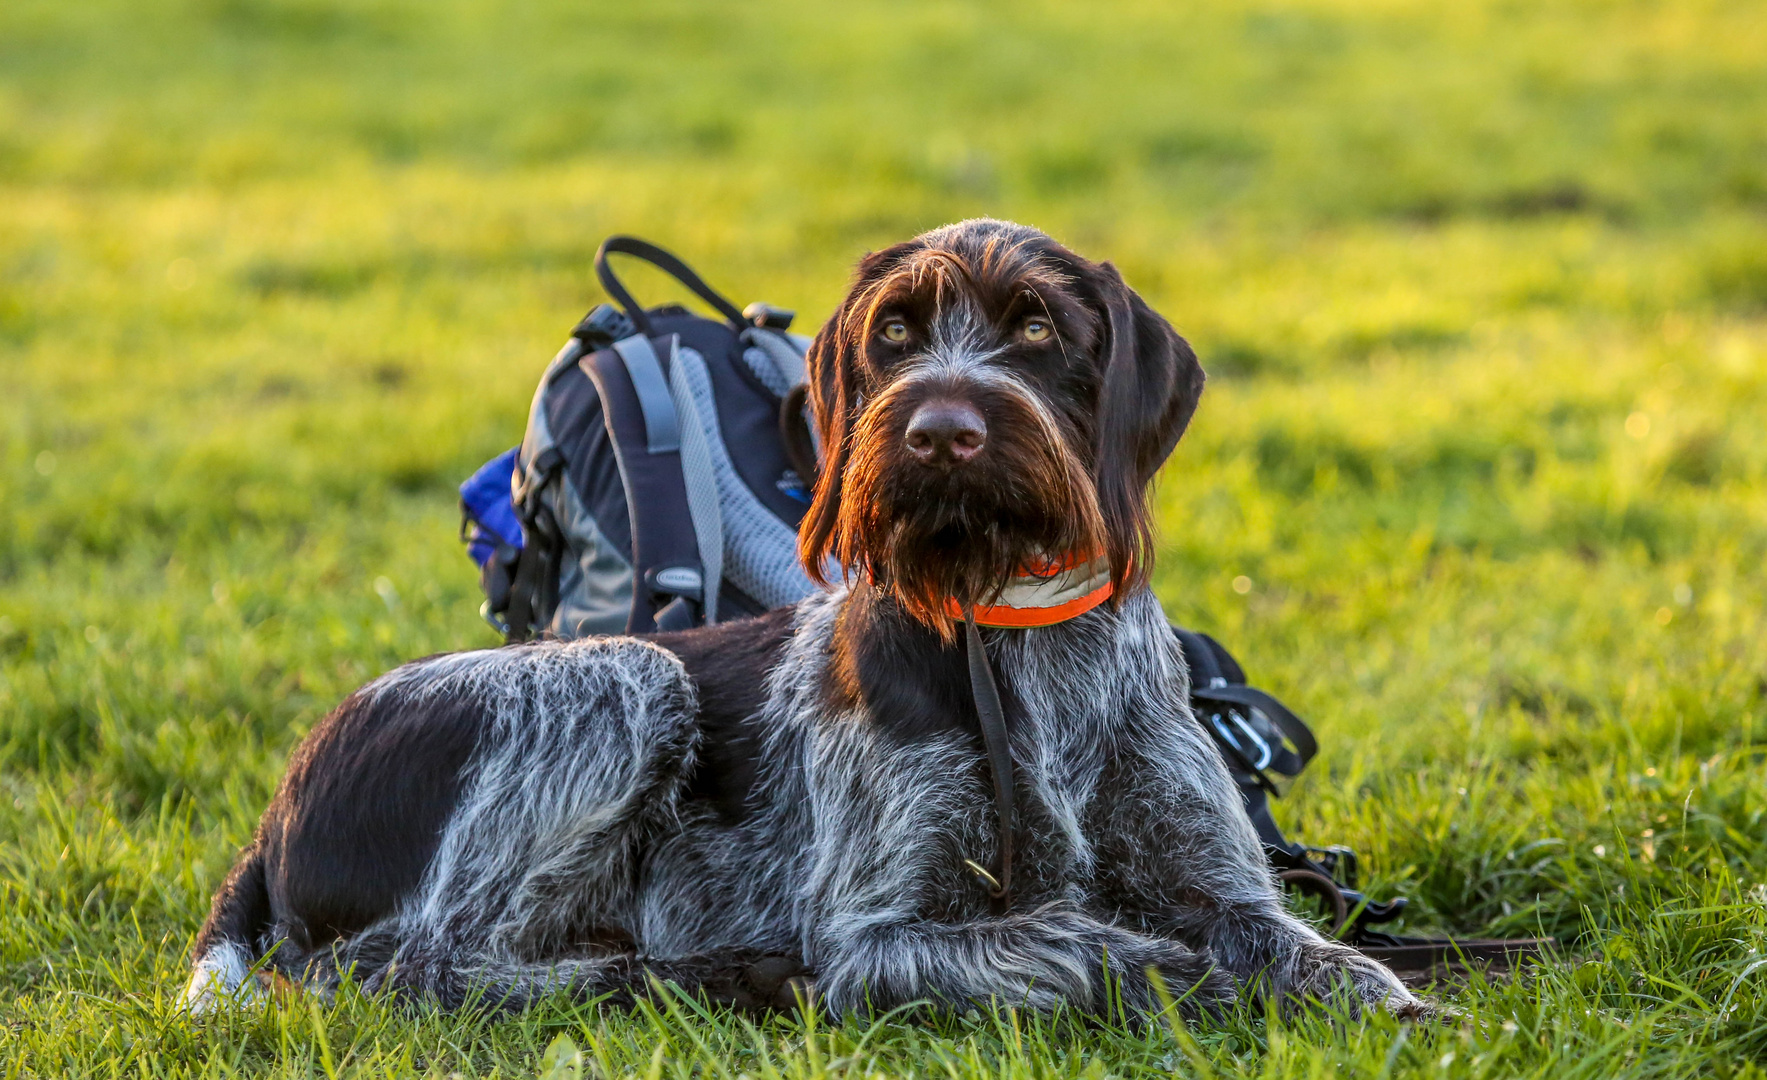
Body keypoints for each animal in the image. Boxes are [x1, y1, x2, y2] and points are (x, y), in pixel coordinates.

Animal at [186, 217, 1427, 1025]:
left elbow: (1305, 948)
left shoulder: (1220, 881)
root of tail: (272, 813)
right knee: (396, 970)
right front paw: (1195, 981)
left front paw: (1375, 995)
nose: (939, 432)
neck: (1018, 624)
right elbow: (1092, 946)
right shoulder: (879, 936)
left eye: (1036, 329)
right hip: (621, 679)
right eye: (894, 333)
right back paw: (693, 978)